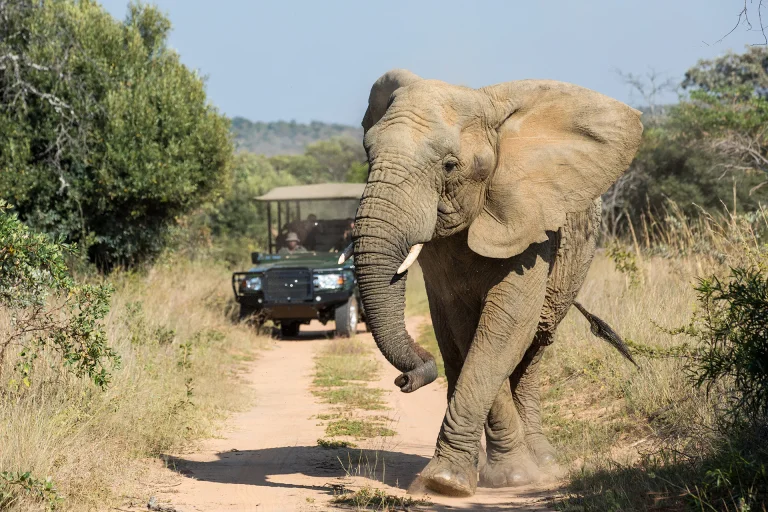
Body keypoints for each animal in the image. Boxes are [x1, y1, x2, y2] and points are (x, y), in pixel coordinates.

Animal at [345, 69, 643, 497]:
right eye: (368, 153)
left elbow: (505, 329)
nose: (406, 379)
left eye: (449, 166)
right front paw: (461, 478)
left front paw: (457, 482)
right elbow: (469, 330)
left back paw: (543, 464)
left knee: (533, 346)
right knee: (457, 351)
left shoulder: (532, 224)